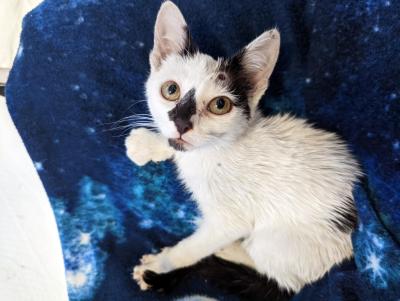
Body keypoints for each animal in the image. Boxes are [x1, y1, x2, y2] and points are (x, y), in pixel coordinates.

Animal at [126, 1, 362, 298]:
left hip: (280, 240)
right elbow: (175, 146)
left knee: (280, 275)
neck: (213, 153)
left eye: (220, 105)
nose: (181, 123)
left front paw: (160, 265)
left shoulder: (231, 219)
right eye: (171, 90)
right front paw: (147, 143)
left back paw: (230, 249)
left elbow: (191, 250)